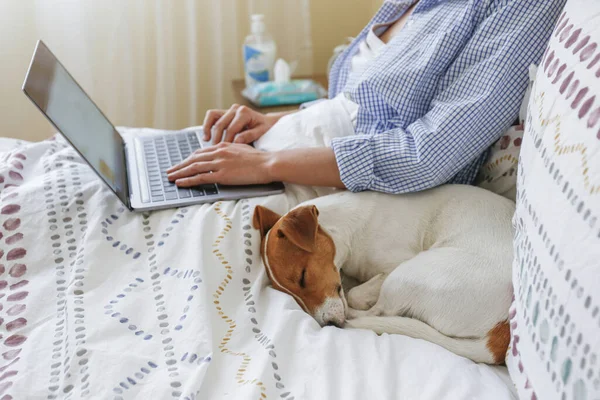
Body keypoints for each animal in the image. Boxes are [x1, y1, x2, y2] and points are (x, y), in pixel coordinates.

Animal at [253, 185, 516, 366]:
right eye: (292, 294)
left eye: (303, 277)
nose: (329, 325)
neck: (350, 229)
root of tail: (501, 332)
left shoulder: (393, 265)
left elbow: (356, 294)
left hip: (406, 276)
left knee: (381, 311)